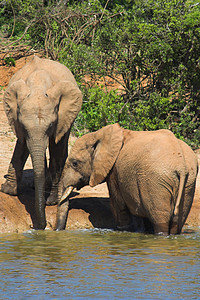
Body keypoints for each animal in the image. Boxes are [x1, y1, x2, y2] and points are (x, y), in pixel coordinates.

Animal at [0, 55, 82, 230]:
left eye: (50, 125)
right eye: (24, 126)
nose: (40, 226)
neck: (38, 87)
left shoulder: (61, 116)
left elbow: (56, 147)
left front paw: (52, 201)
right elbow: (22, 144)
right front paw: (8, 191)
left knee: (60, 144)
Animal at [54, 123, 198, 233]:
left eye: (75, 163)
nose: (57, 230)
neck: (100, 134)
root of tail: (182, 167)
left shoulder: (114, 171)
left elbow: (118, 204)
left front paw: (122, 230)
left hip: (156, 182)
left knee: (160, 220)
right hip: (188, 183)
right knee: (176, 221)